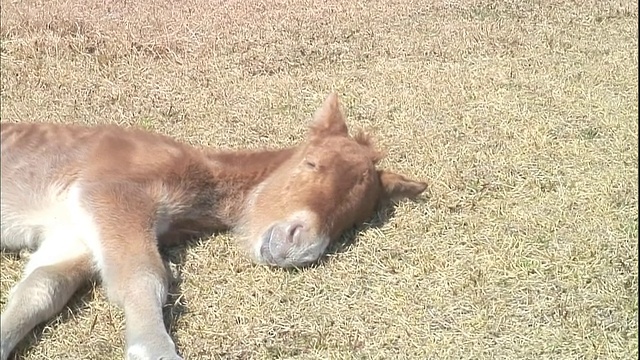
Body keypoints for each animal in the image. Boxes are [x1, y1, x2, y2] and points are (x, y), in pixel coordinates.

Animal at [2, 94, 428, 358]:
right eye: (311, 163)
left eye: (354, 218)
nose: (301, 245)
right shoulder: (111, 192)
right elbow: (144, 276)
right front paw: (157, 351)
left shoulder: (72, 234)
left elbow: (39, 289)